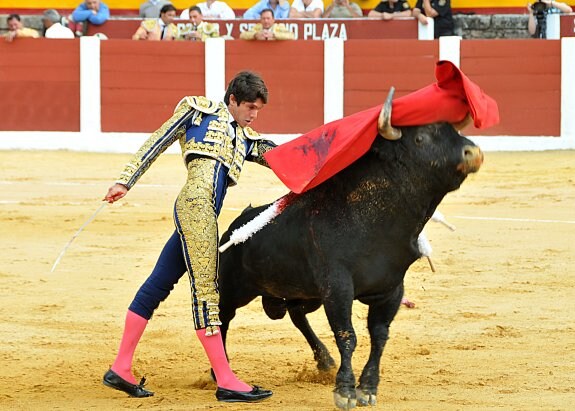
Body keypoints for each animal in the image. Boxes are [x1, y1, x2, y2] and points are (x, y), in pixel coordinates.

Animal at [218, 90, 484, 408]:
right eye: (421, 137)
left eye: (454, 131)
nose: (474, 153)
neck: (377, 222)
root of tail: (235, 226)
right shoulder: (337, 286)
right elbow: (347, 335)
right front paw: (344, 391)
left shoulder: (392, 289)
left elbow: (379, 335)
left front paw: (368, 388)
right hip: (235, 288)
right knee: (221, 318)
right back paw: (220, 374)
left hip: (306, 293)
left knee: (296, 314)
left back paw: (324, 361)